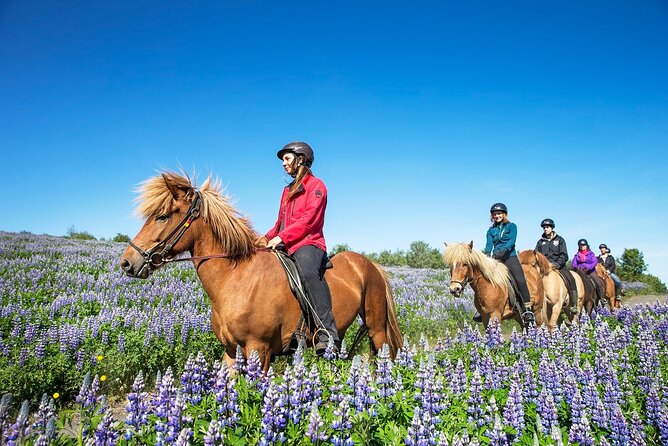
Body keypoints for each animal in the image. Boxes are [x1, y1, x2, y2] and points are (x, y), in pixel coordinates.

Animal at [118, 172, 402, 372]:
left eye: (162, 216)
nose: (127, 262)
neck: (236, 278)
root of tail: (371, 265)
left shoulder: (260, 350)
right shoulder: (231, 352)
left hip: (376, 327)